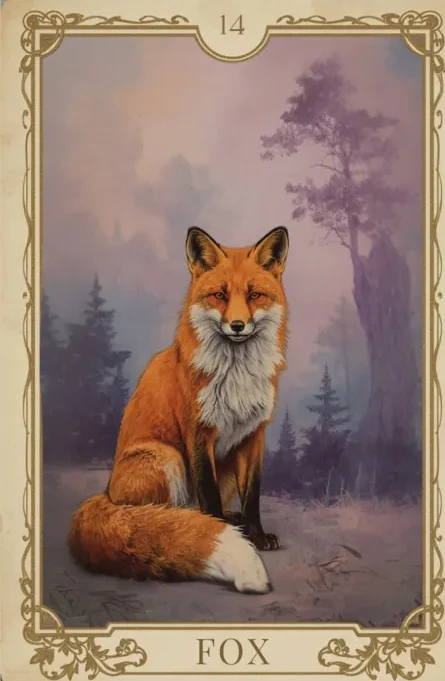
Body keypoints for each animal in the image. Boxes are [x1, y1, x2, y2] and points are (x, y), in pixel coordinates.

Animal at [68, 226, 289, 594]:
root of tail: (107, 494)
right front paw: (217, 528)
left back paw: (233, 522)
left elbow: (253, 495)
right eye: (219, 295)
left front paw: (256, 535)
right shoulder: (198, 432)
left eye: (255, 295)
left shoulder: (254, 435)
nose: (238, 325)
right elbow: (208, 494)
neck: (236, 375)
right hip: (167, 456)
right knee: (169, 513)